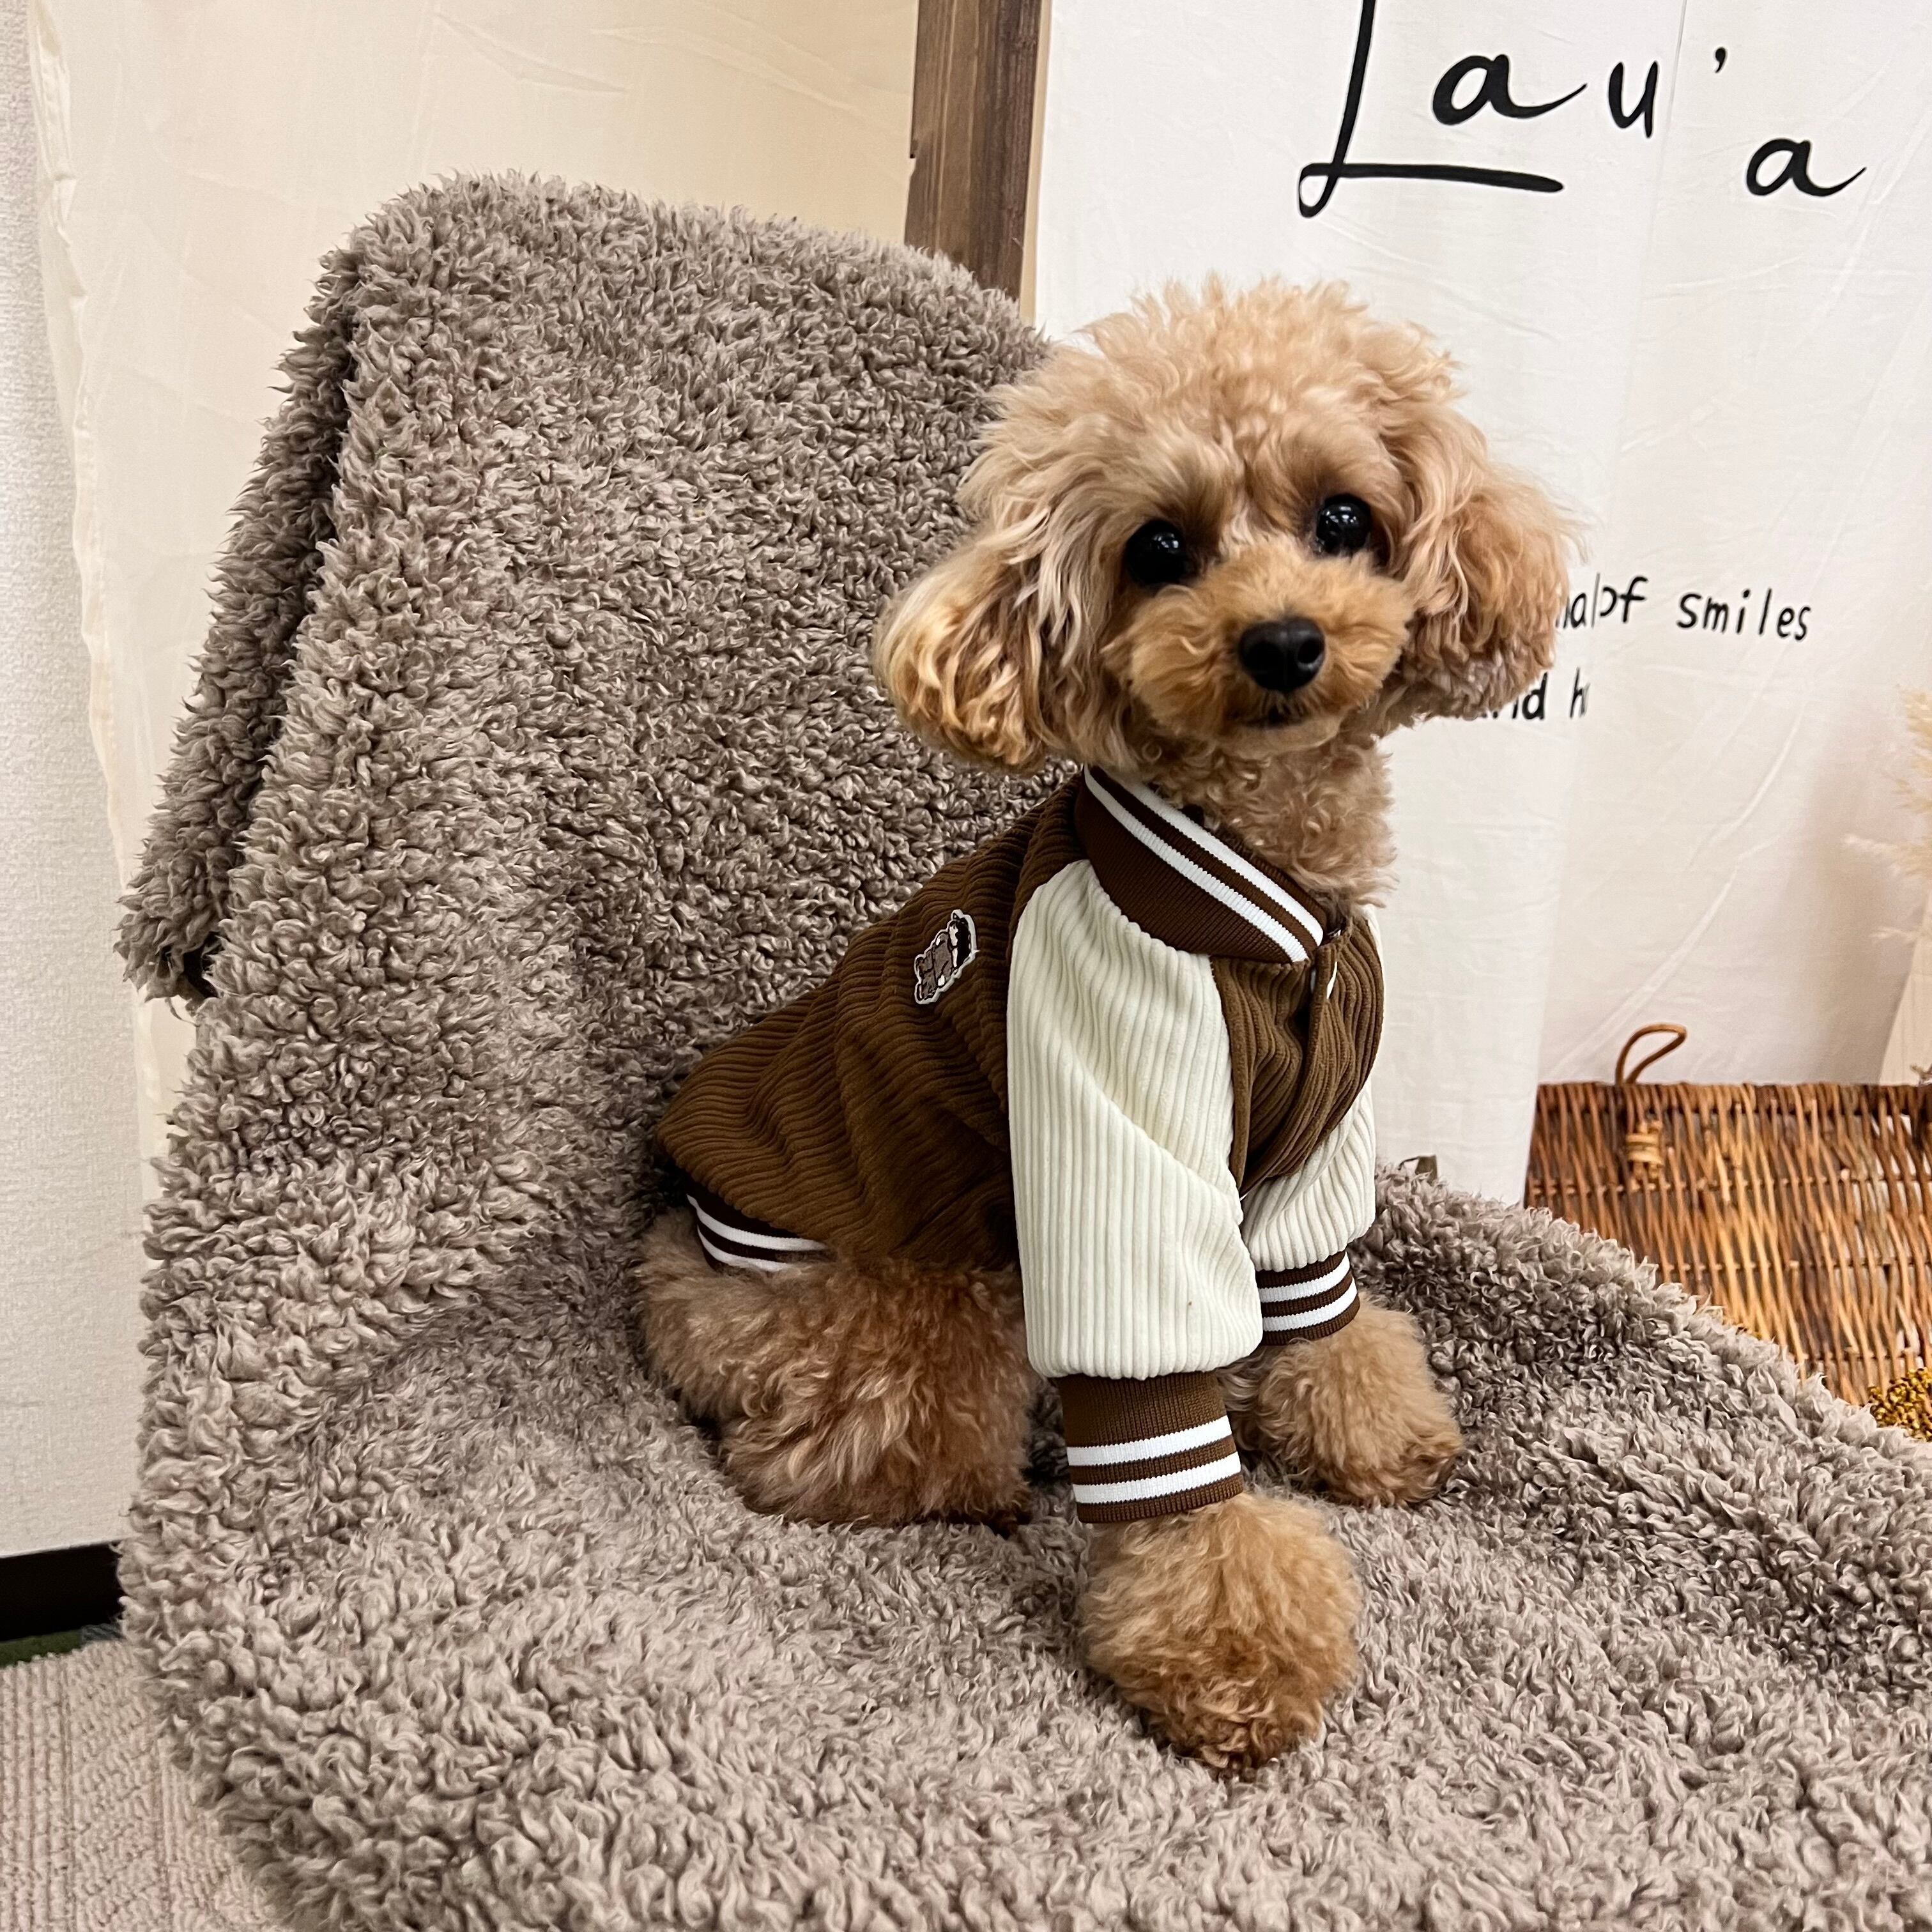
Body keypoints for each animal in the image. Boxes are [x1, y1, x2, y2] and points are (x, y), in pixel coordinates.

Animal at [637, 279, 1567, 1770]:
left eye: (1343, 518)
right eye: (1160, 547)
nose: (1282, 642)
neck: (1267, 898)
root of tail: (672, 1259)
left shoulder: (1312, 1147)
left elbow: (1320, 1307)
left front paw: (1370, 1434)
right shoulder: (1113, 1120)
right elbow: (1160, 1411)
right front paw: (1234, 1652)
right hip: (928, 1301)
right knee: (833, 1449)